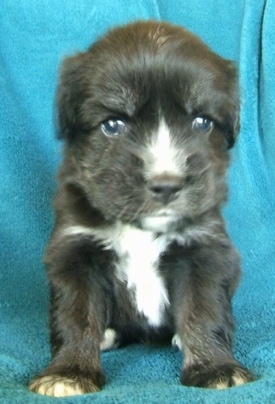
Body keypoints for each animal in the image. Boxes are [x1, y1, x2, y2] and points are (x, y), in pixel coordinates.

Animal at [29, 20, 254, 396]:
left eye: (202, 122)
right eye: (113, 124)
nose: (167, 184)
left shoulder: (203, 249)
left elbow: (203, 310)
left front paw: (216, 367)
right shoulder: (76, 251)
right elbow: (76, 316)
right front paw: (68, 372)